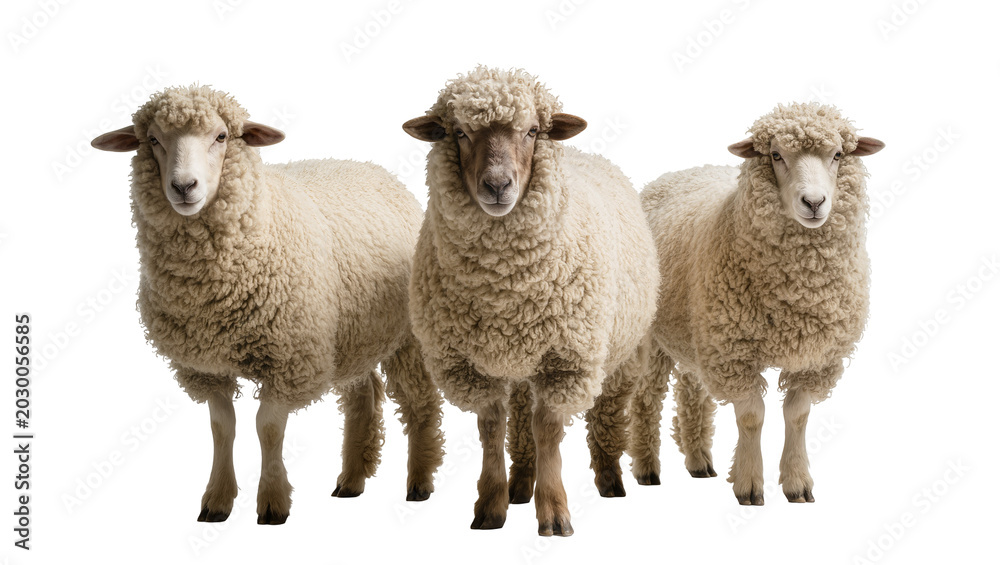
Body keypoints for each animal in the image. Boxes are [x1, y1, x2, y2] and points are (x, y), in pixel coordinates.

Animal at [91, 85, 444, 525]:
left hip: (406, 336)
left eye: (222, 136)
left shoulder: (289, 357)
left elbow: (268, 428)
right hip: (350, 334)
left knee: (419, 401)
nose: (184, 186)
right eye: (153, 140)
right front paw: (217, 500)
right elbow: (222, 428)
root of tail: (374, 170)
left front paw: (273, 502)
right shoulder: (207, 367)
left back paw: (420, 482)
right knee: (362, 396)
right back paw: (351, 480)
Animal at [403, 67, 659, 536]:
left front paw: (554, 513)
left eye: (533, 131)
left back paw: (610, 480)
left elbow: (548, 432)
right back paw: (520, 486)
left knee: (606, 413)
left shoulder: (566, 362)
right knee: (519, 420)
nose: (497, 185)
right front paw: (491, 506)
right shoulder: (470, 366)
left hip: (620, 351)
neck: (503, 290)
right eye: (459, 132)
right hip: (520, 363)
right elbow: (491, 428)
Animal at [629, 102, 883, 505]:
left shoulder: (814, 358)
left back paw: (698, 461)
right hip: (655, 338)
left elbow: (797, 415)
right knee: (646, 398)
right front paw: (749, 484)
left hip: (697, 330)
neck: (798, 295)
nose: (814, 203)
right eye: (776, 155)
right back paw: (646, 468)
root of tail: (678, 173)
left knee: (691, 391)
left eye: (838, 155)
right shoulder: (734, 353)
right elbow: (752, 416)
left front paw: (797, 482)